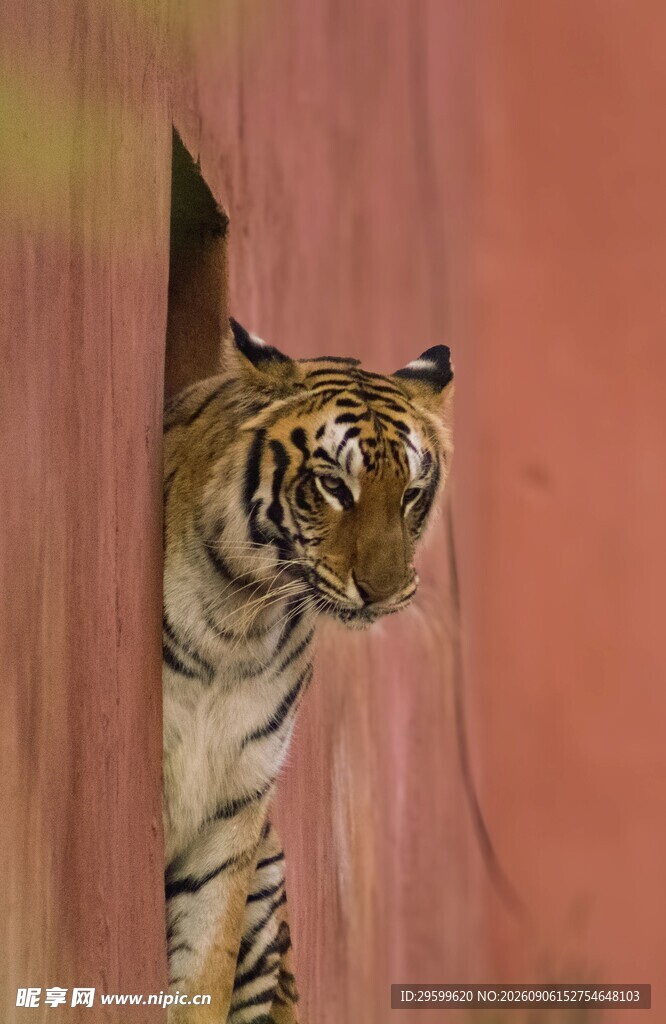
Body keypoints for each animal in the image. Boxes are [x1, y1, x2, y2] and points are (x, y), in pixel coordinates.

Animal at [162, 318, 454, 1023]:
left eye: (410, 494)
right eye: (334, 487)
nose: (385, 592)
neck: (234, 621)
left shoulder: (234, 810)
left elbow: (204, 975)